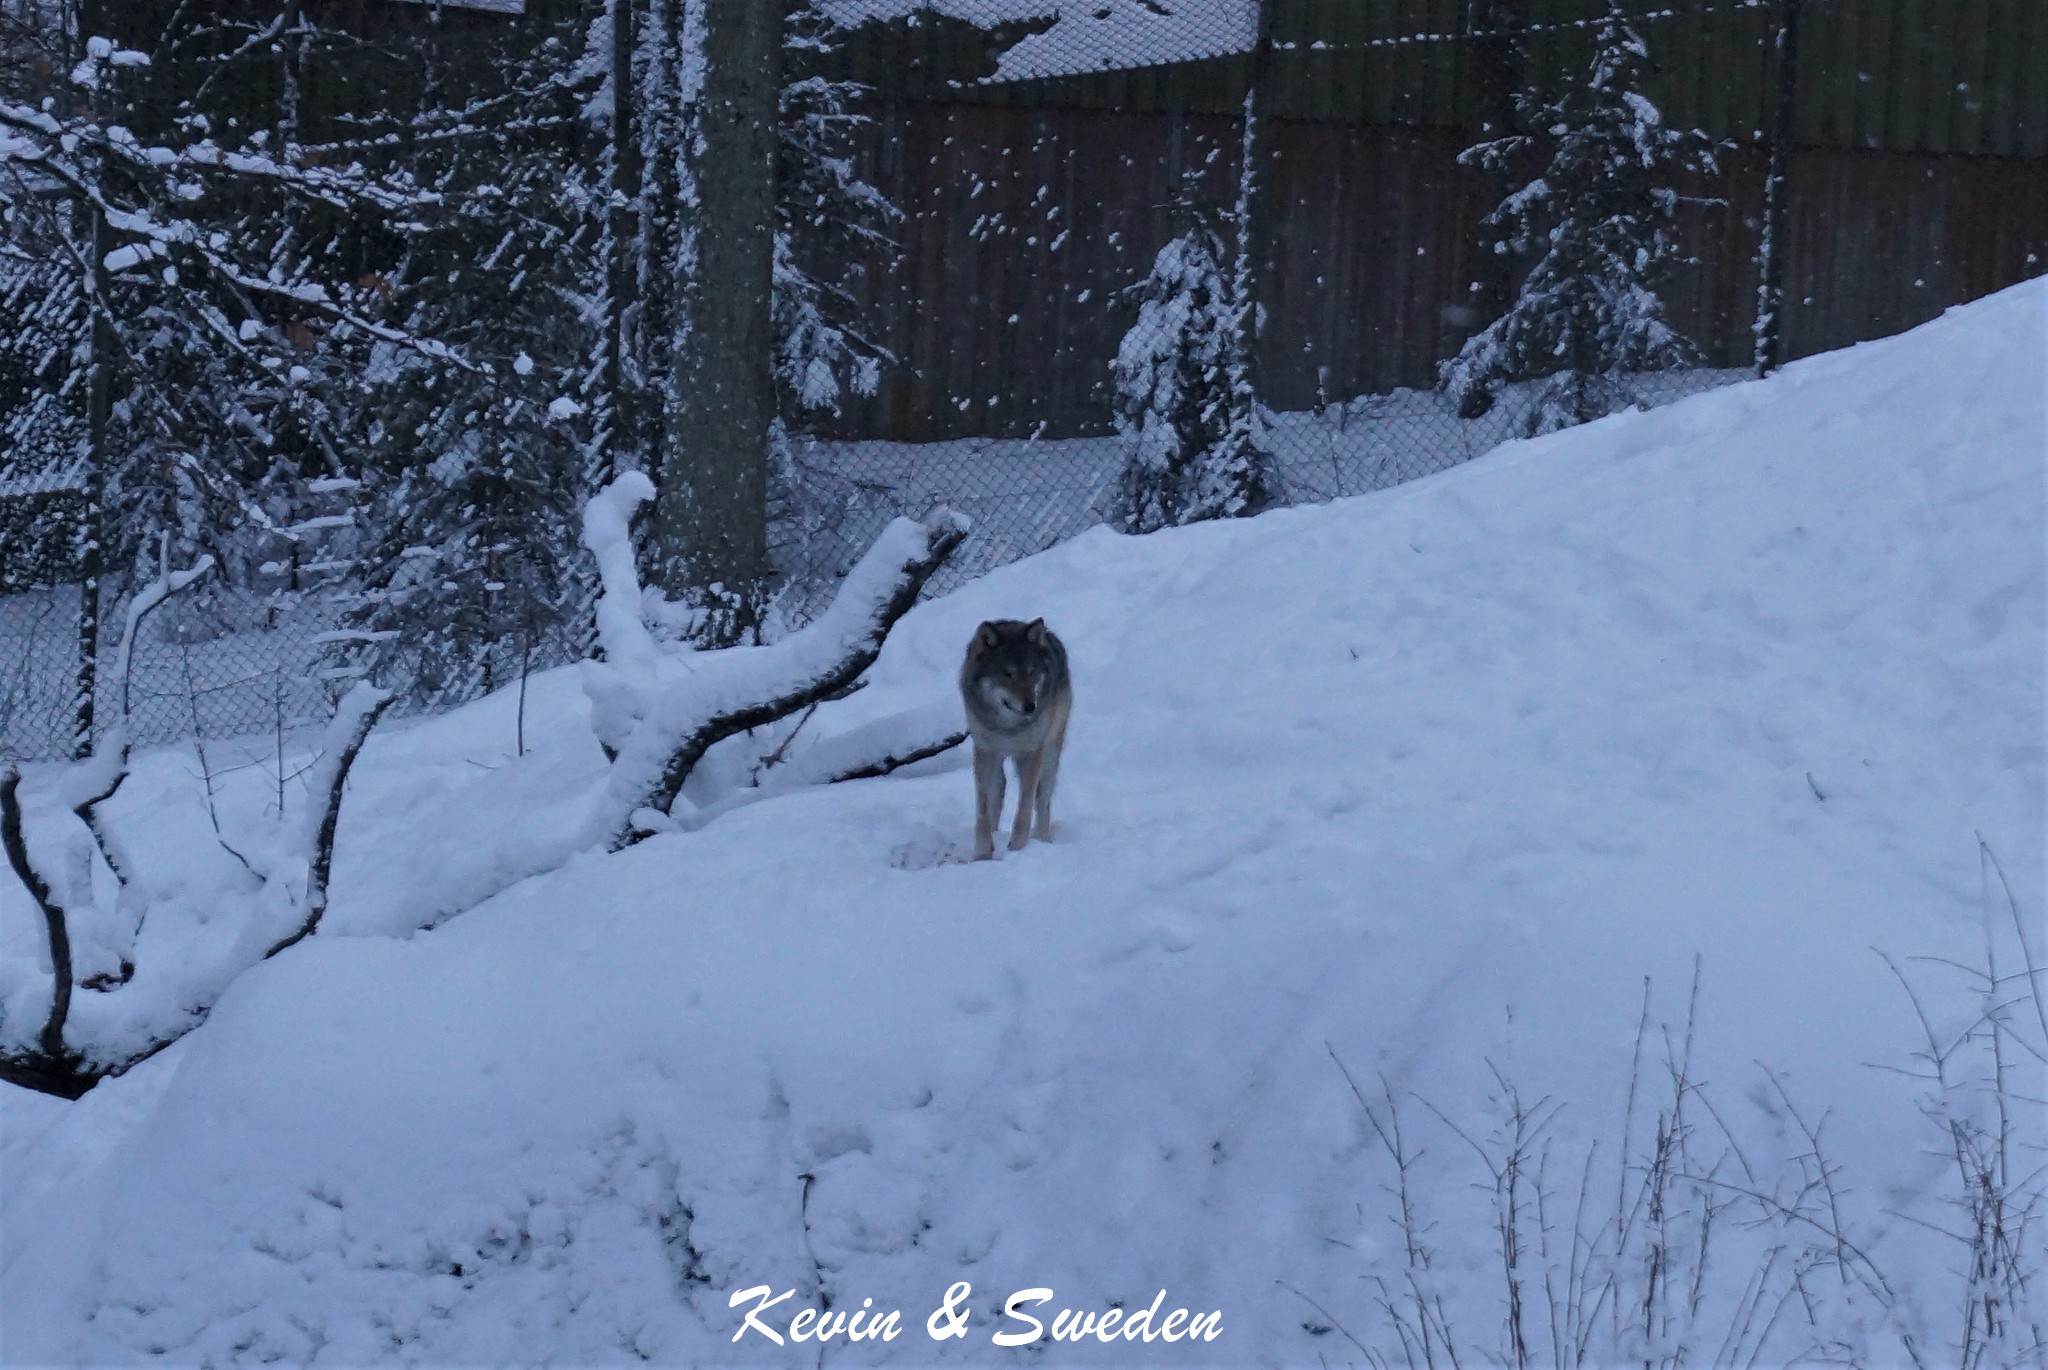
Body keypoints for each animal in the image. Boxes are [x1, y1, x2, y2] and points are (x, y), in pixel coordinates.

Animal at [958, 618, 1073, 860]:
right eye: (1008, 675)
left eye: (1031, 673)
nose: (1031, 706)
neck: (1007, 728)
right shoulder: (985, 750)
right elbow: (983, 809)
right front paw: (982, 854)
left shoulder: (1031, 753)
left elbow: (1024, 807)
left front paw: (1018, 848)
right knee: (1000, 787)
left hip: (1049, 755)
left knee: (1043, 798)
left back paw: (1042, 839)